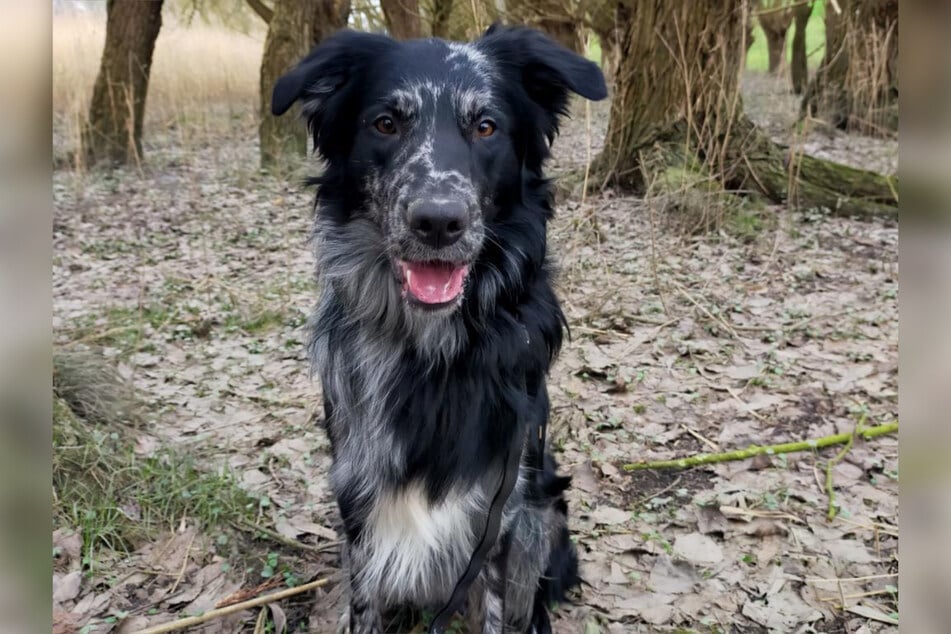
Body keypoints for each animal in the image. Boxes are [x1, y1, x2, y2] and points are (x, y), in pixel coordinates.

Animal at [272, 25, 608, 632]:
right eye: (385, 123)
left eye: (486, 126)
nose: (437, 222)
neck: (431, 349)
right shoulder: (359, 493)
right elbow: (364, 602)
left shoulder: (504, 508)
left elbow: (496, 609)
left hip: (543, 517)